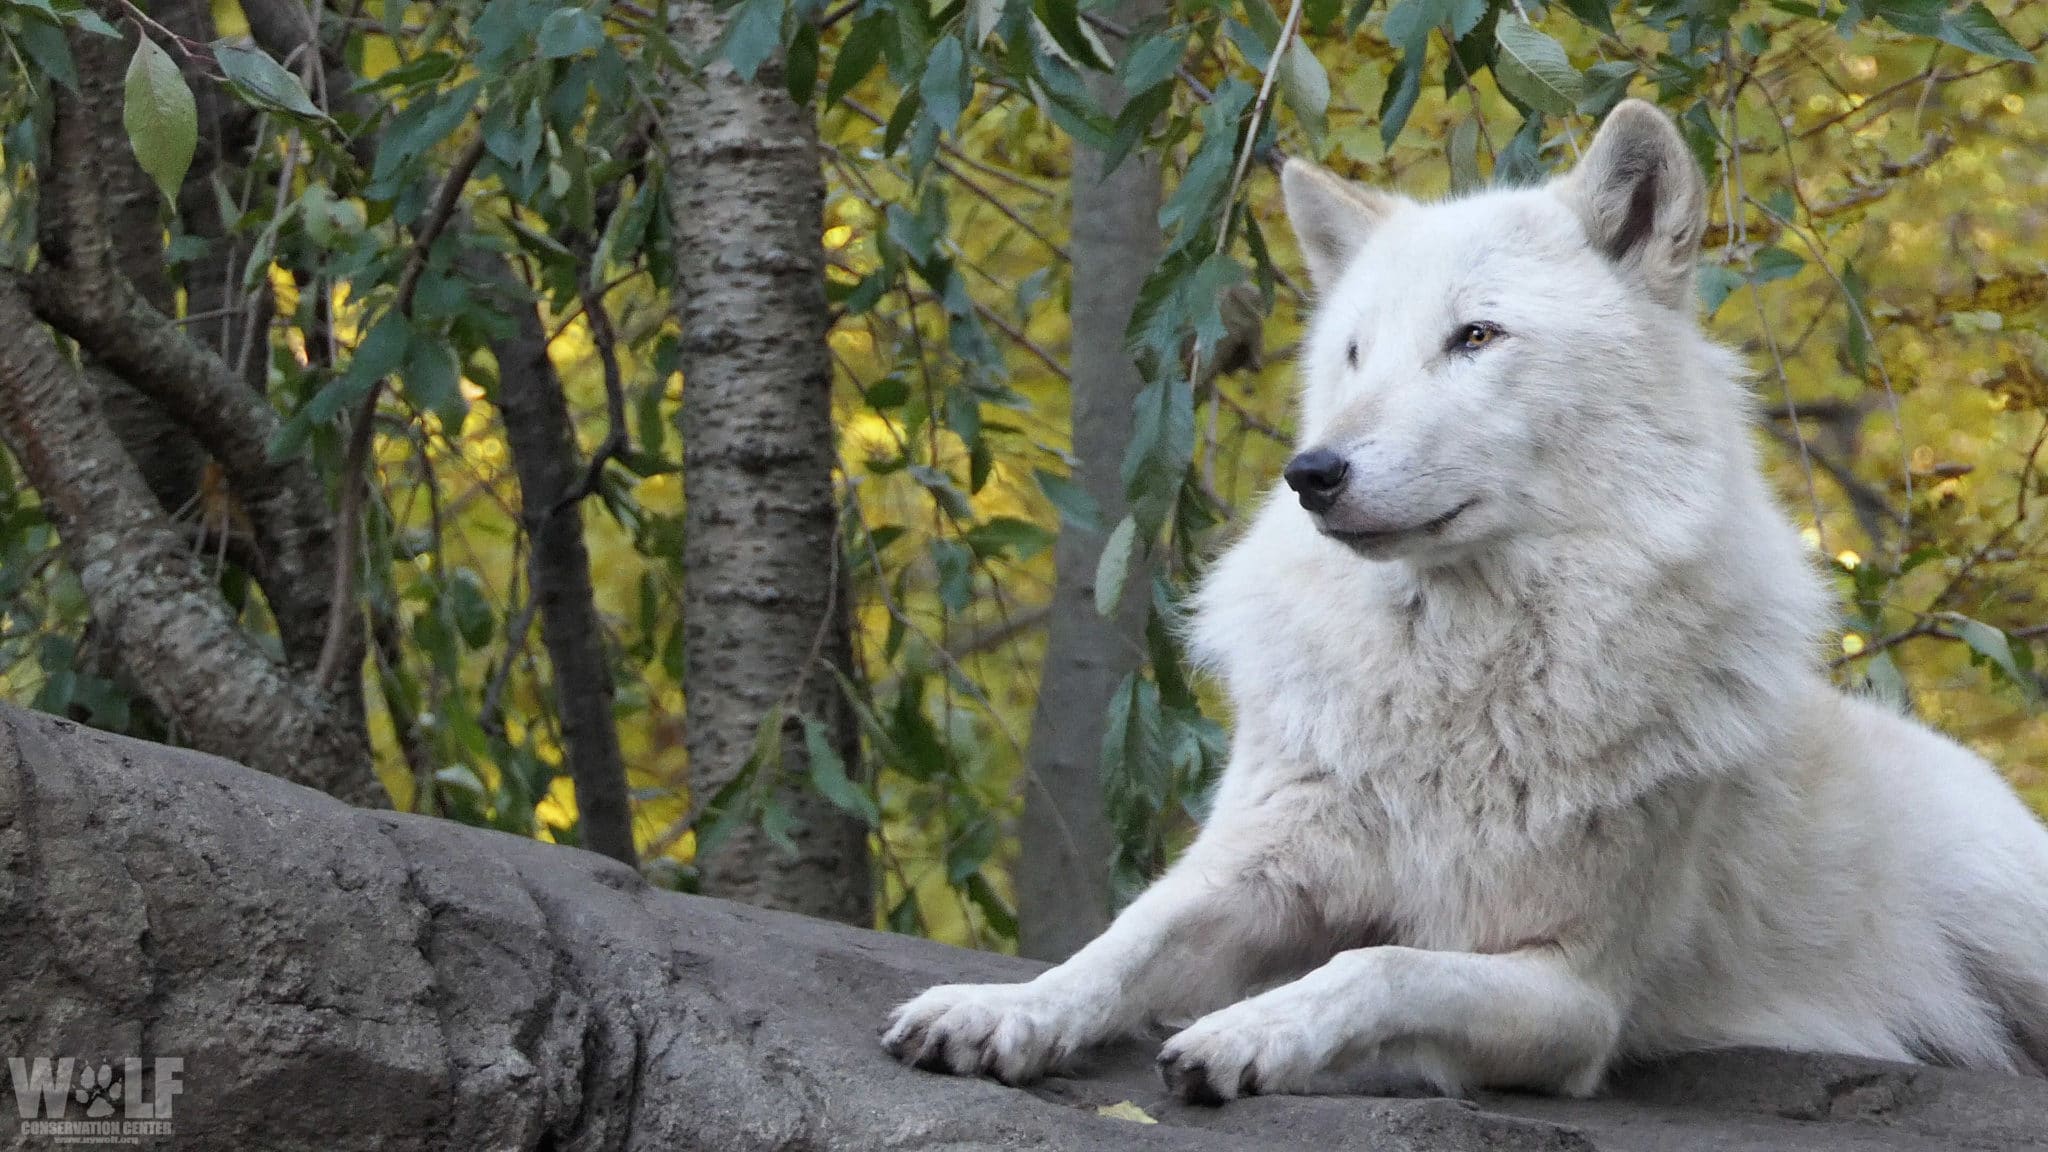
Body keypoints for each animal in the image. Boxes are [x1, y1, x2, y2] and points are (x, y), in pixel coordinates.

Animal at [880, 103, 2048, 1098]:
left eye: (1476, 337)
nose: (1311, 472)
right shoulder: (1260, 863)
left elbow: (1377, 964)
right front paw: (1003, 1011)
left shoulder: (1571, 995)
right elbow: (1122, 941)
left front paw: (1249, 1033)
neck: (1456, 684)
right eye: (1354, 352)